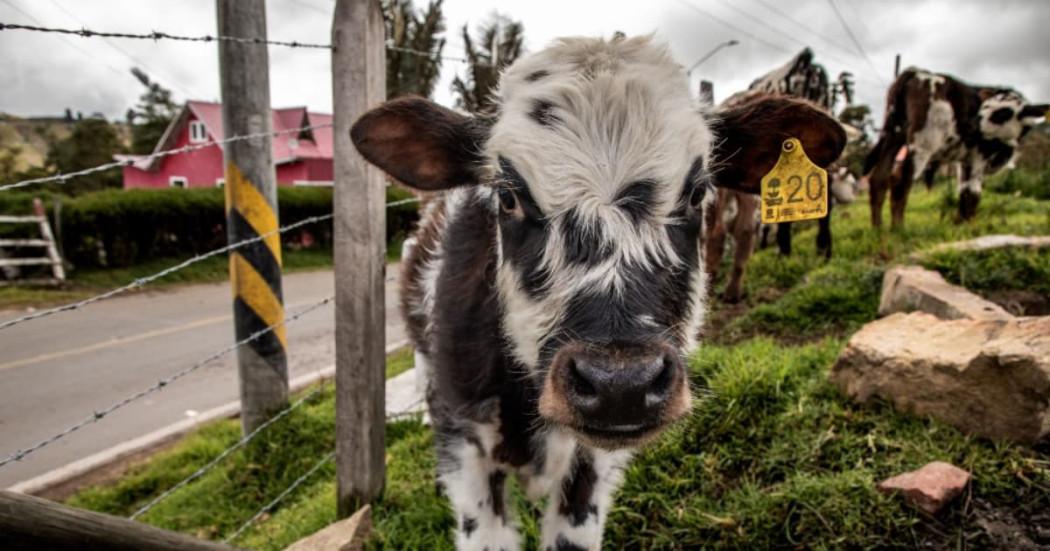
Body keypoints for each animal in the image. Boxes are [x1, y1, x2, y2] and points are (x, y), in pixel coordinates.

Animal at [865, 67, 1045, 227]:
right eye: (986, 107)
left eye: (1003, 113)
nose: (970, 126)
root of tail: (916, 72)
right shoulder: (980, 156)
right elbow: (974, 193)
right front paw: (969, 227)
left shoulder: (966, 161)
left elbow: (964, 192)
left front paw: (960, 224)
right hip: (924, 141)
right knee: (900, 180)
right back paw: (898, 229)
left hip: (893, 135)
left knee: (879, 178)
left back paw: (878, 228)